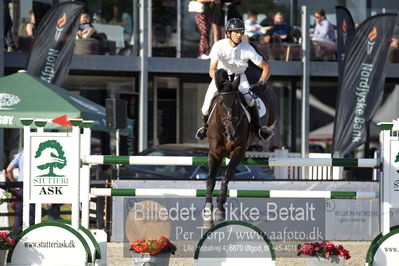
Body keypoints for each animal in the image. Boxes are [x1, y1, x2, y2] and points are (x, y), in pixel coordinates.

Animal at [205, 68, 276, 229]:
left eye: (238, 103)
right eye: (219, 103)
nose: (232, 134)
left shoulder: (238, 151)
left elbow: (226, 176)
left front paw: (220, 209)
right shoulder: (214, 153)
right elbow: (211, 179)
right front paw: (207, 212)